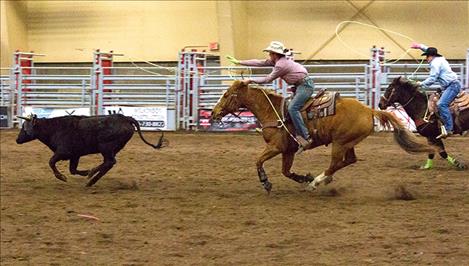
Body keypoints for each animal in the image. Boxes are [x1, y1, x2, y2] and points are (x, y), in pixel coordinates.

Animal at [211, 80, 432, 192]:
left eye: (226, 95)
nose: (213, 113)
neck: (272, 111)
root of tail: (369, 110)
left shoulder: (276, 147)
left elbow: (258, 161)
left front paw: (266, 182)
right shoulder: (288, 150)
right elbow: (285, 171)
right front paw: (303, 177)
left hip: (340, 142)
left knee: (335, 163)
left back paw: (317, 181)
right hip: (348, 142)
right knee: (349, 161)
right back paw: (320, 179)